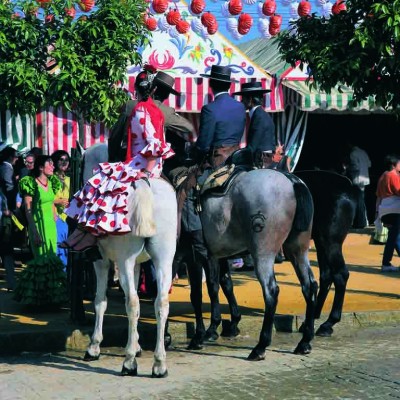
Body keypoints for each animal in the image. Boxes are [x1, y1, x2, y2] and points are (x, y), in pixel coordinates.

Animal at [79, 144, 177, 378]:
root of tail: (146, 186)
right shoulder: (137, 264)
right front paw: (138, 344)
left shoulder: (102, 262)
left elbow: (100, 301)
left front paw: (94, 347)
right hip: (164, 260)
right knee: (161, 303)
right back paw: (159, 363)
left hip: (123, 261)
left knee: (132, 302)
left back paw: (129, 362)